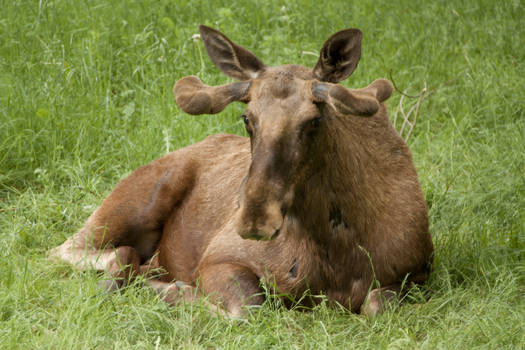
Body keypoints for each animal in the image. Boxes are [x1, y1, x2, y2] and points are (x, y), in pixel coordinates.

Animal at [49, 25, 434, 318]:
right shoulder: (219, 258)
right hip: (137, 197)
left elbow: (376, 305)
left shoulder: (416, 273)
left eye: (314, 120)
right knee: (70, 250)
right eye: (247, 118)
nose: (254, 219)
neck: (336, 253)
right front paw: (176, 292)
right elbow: (249, 309)